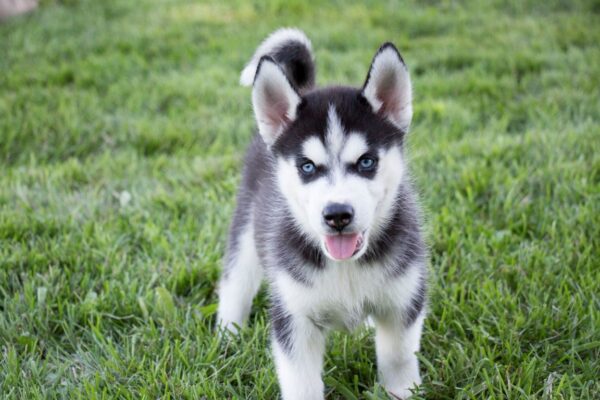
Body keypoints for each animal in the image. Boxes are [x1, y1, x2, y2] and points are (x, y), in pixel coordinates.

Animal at [216, 28, 426, 400]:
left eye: (367, 162)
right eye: (307, 166)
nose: (337, 215)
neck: (345, 268)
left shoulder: (404, 300)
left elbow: (398, 357)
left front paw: (401, 390)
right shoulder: (294, 317)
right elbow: (301, 382)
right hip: (247, 231)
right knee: (234, 282)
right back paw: (228, 334)